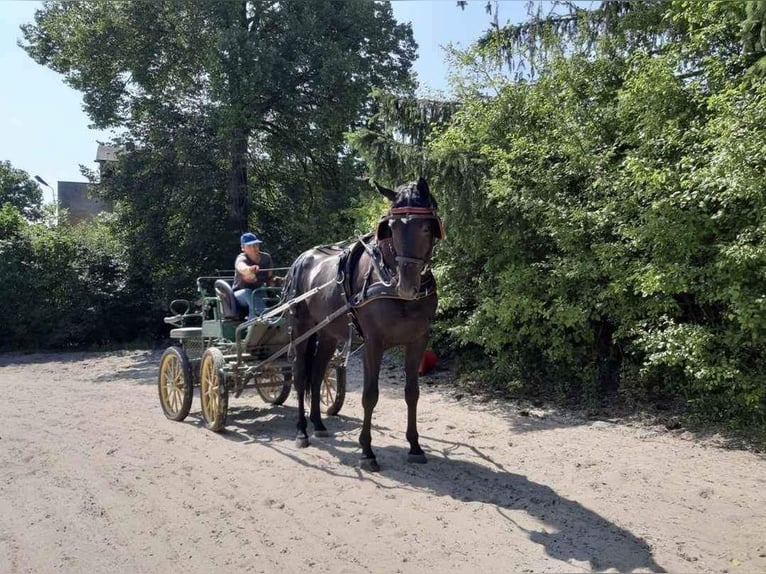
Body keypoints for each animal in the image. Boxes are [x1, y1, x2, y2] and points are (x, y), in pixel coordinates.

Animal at [284, 177, 444, 472]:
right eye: (391, 228)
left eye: (427, 226)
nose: (407, 286)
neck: (388, 279)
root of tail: (302, 258)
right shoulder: (373, 343)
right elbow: (370, 395)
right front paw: (367, 451)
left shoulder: (418, 340)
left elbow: (412, 393)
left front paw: (415, 446)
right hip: (301, 328)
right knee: (301, 376)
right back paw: (302, 431)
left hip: (328, 333)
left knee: (317, 374)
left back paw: (318, 424)